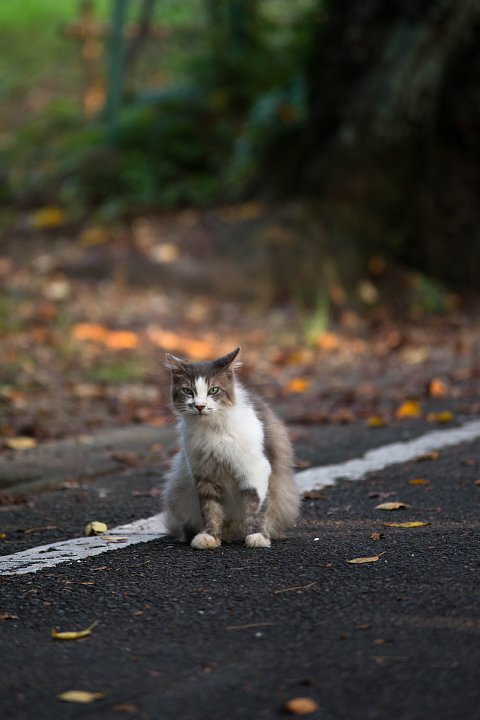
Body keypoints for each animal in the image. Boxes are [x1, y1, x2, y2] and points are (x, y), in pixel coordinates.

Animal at [163, 346, 298, 548]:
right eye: (187, 391)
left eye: (214, 390)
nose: (200, 406)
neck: (213, 430)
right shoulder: (204, 474)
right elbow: (210, 509)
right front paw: (210, 536)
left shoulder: (255, 470)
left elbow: (255, 507)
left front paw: (258, 536)